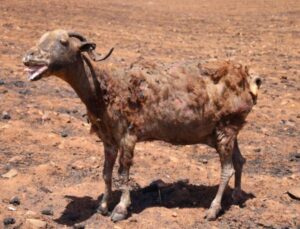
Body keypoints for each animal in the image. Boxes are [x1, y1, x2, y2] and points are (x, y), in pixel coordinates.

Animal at [23, 30, 262, 222]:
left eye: (63, 42)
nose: (28, 57)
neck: (105, 89)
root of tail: (249, 79)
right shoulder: (108, 139)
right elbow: (106, 173)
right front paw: (102, 205)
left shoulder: (128, 135)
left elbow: (123, 172)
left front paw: (120, 209)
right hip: (227, 129)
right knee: (240, 160)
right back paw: (237, 196)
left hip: (226, 127)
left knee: (227, 169)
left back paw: (213, 209)